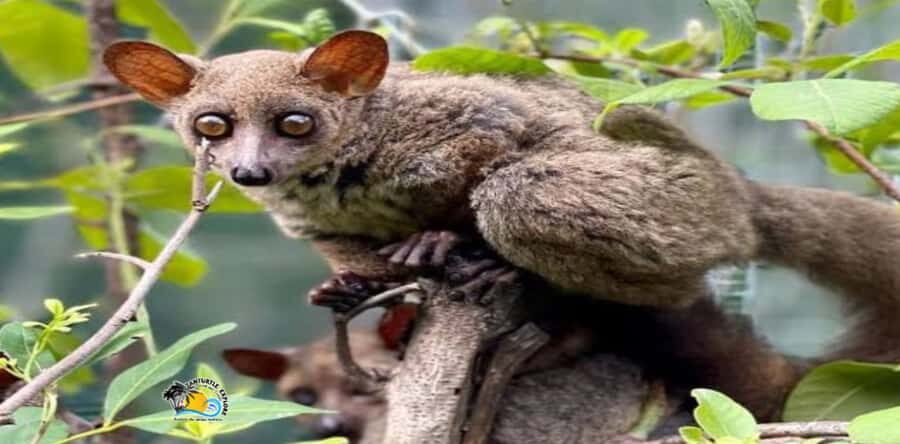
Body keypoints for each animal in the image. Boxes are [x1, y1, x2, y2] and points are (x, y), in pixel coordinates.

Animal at [102, 29, 900, 417]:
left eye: (295, 123)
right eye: (211, 126)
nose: (248, 174)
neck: (337, 170)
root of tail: (740, 196)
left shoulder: (453, 131)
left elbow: (497, 150)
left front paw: (444, 242)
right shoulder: (303, 219)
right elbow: (339, 252)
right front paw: (354, 289)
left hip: (680, 211)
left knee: (526, 199)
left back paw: (513, 275)